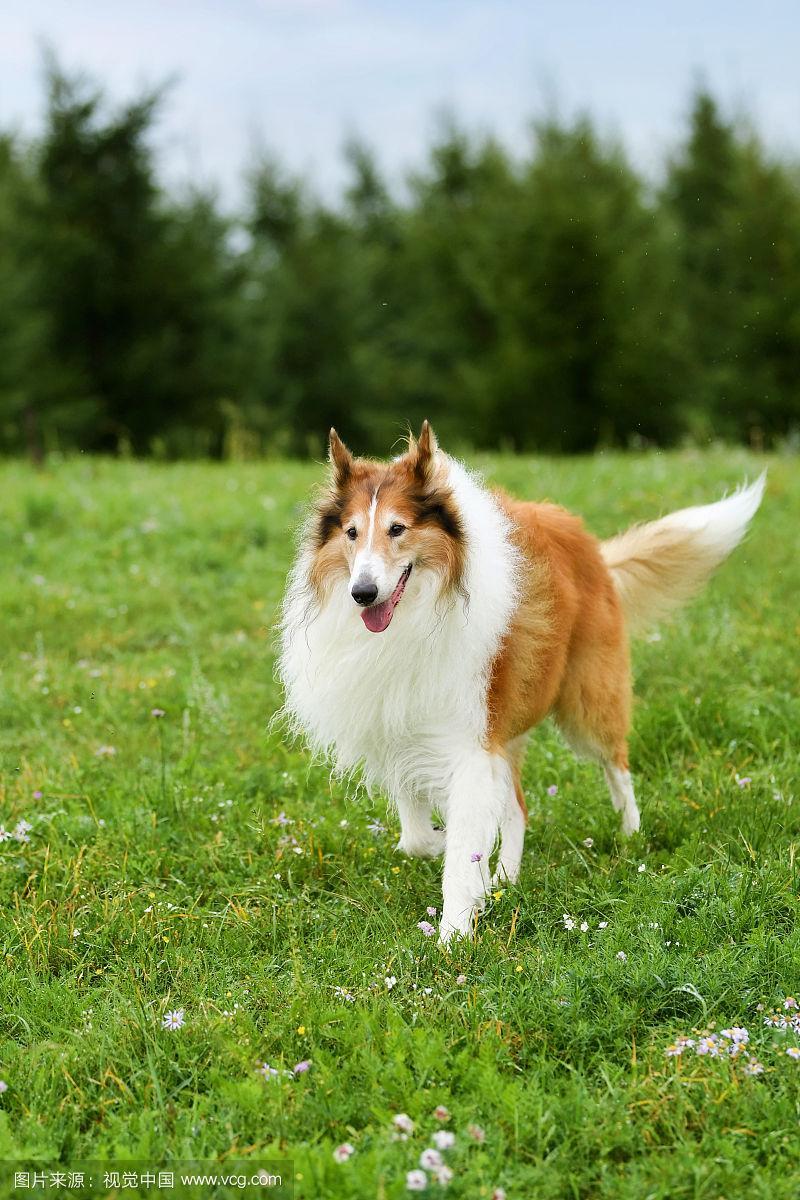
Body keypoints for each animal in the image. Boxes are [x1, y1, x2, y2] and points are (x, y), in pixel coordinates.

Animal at [278, 427, 767, 940]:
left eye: (398, 529)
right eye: (351, 532)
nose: (363, 593)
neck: (420, 609)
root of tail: (589, 543)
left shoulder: (470, 745)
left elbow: (461, 848)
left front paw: (453, 935)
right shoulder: (401, 730)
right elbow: (416, 835)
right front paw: (447, 849)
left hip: (587, 701)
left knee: (617, 766)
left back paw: (631, 835)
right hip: (509, 722)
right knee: (518, 807)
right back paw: (505, 878)